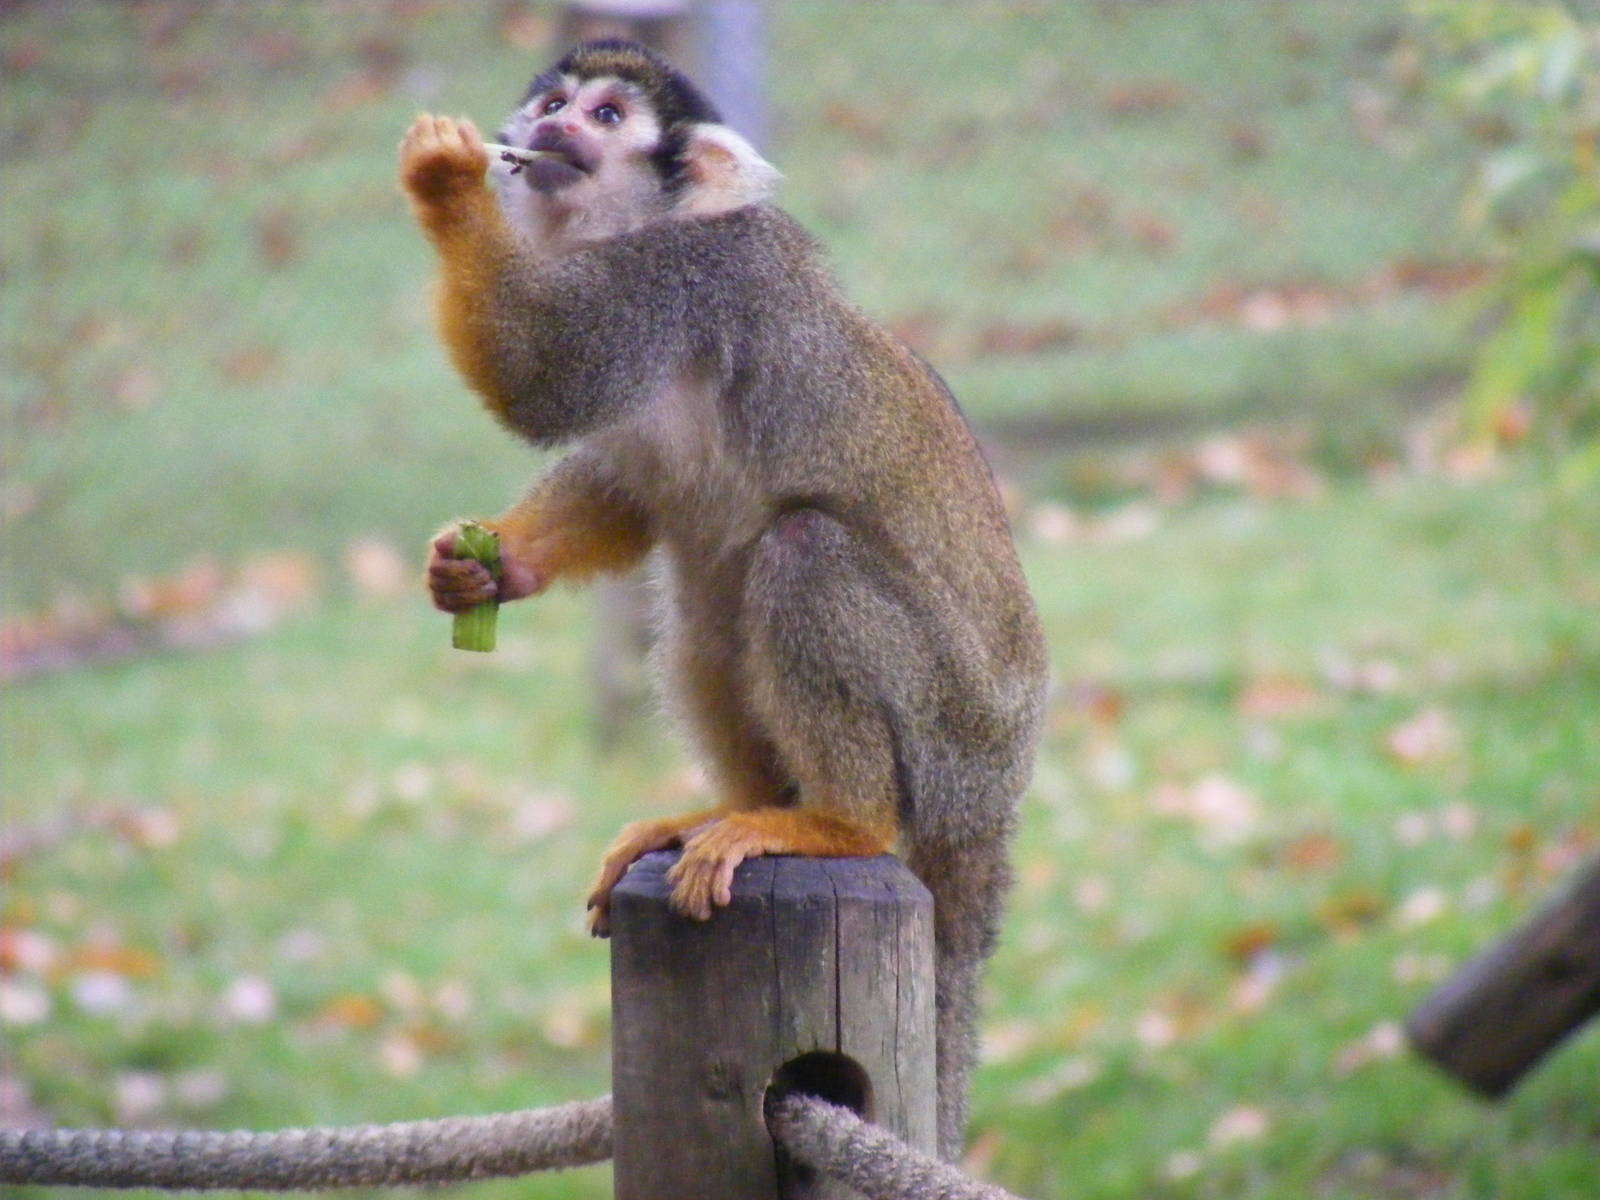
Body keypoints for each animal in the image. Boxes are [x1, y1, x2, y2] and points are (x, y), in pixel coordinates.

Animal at [399, 40, 1048, 1160]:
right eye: (555, 101)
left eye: (606, 116)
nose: (553, 127)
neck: (627, 232)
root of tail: (996, 797)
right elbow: (618, 483)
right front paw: (491, 569)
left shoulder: (688, 280)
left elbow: (545, 379)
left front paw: (445, 180)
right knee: (706, 606)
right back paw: (737, 802)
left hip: (945, 733)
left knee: (798, 554)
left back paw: (836, 822)